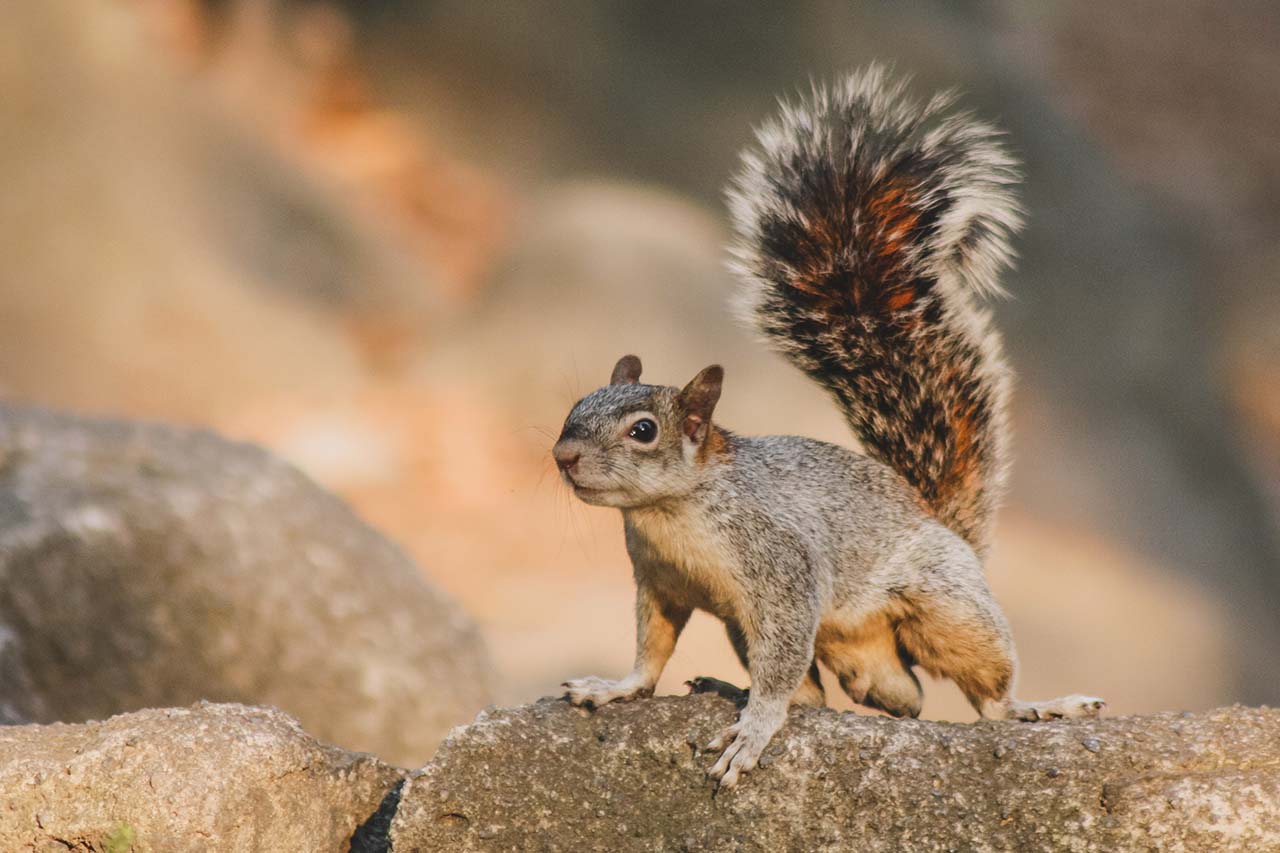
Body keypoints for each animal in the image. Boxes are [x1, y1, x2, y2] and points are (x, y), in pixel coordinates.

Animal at [550, 66, 1100, 783]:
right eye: (575, 409)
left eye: (643, 430)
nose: (562, 456)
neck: (671, 513)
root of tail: (941, 521)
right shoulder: (660, 583)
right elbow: (652, 647)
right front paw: (616, 687)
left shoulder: (783, 570)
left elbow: (778, 664)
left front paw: (753, 730)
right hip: (780, 634)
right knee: (870, 696)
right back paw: (738, 685)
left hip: (945, 605)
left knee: (984, 692)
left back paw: (1040, 705)